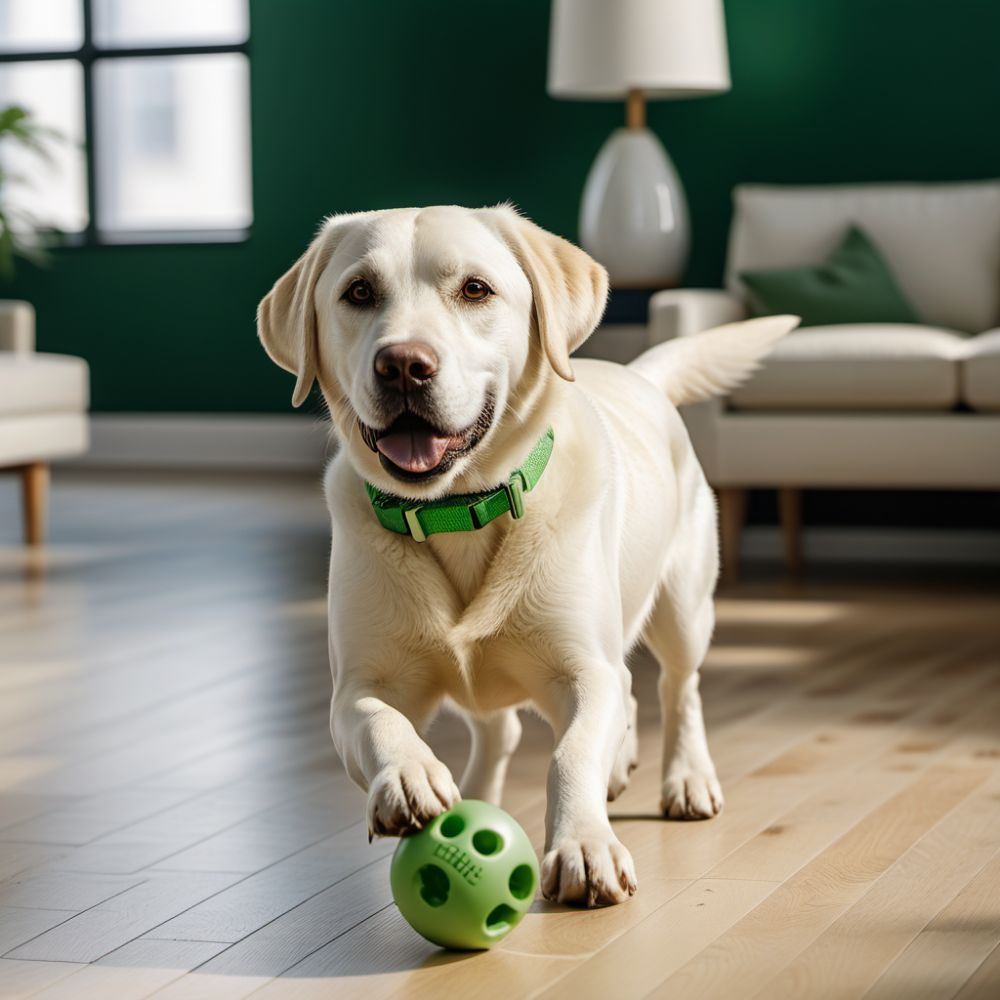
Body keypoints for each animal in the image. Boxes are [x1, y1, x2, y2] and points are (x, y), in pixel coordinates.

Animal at [260, 207, 796, 912]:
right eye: (358, 293)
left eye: (475, 290)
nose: (403, 364)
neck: (455, 508)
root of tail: (640, 375)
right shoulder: (359, 684)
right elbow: (378, 720)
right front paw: (409, 775)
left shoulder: (583, 671)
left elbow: (572, 753)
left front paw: (584, 847)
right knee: (512, 729)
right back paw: (487, 790)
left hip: (682, 606)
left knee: (675, 688)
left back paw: (685, 778)